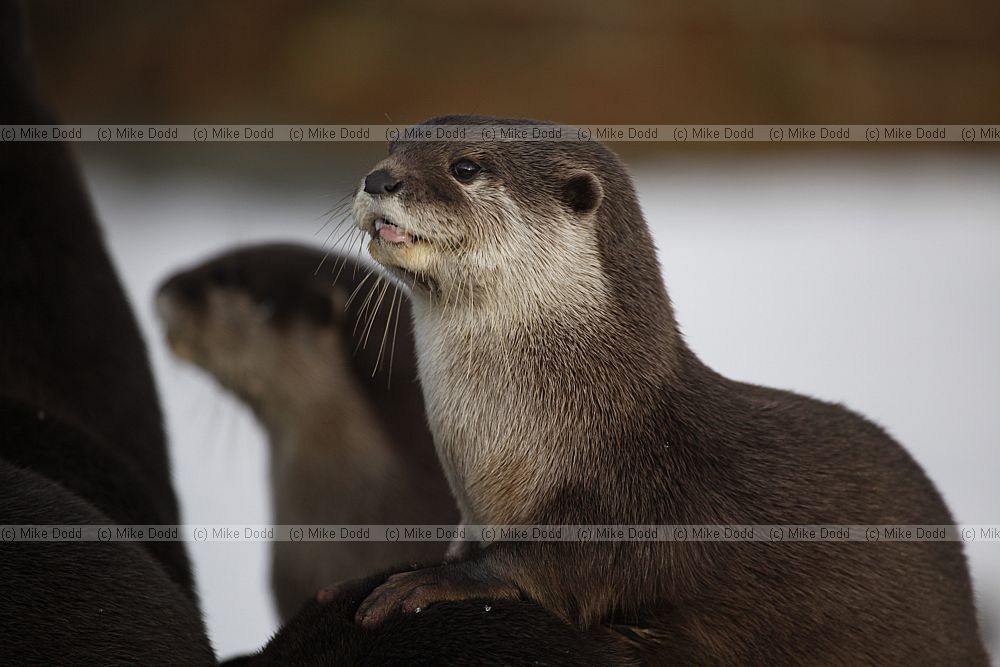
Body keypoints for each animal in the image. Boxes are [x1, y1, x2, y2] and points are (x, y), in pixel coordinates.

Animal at [333, 116, 988, 664]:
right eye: (394, 143)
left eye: (466, 167)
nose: (379, 178)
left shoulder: (639, 503)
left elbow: (569, 568)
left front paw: (435, 581)